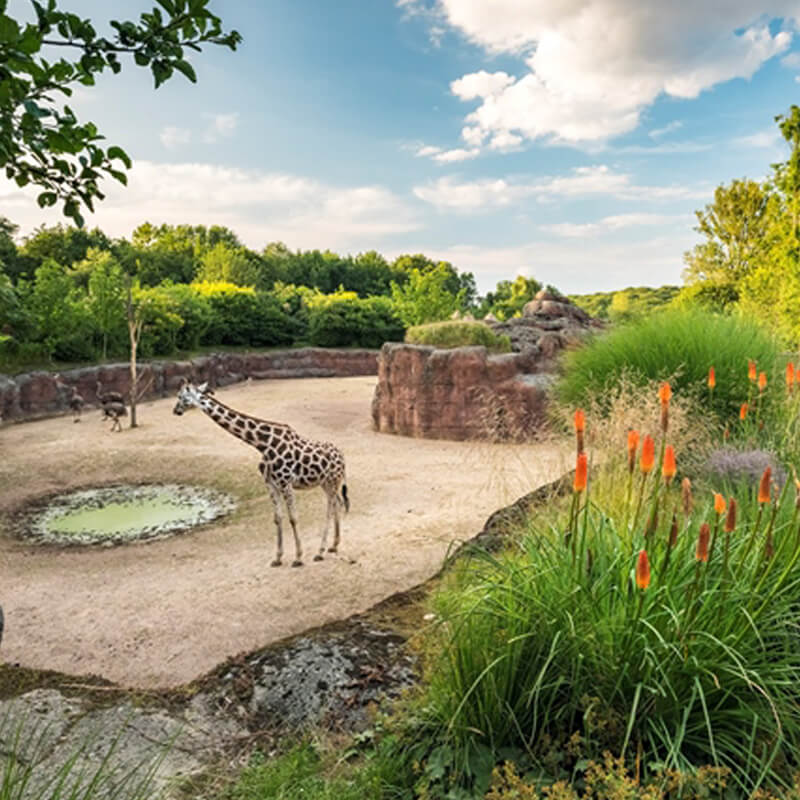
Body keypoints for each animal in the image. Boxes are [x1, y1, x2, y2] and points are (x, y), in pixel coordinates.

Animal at [172, 381, 348, 567]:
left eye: (181, 396)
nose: (175, 411)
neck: (263, 444)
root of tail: (342, 457)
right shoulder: (270, 483)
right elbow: (277, 518)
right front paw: (278, 558)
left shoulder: (286, 483)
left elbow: (293, 518)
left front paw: (298, 557)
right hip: (325, 483)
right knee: (337, 503)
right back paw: (333, 545)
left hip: (333, 480)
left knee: (330, 508)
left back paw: (320, 552)